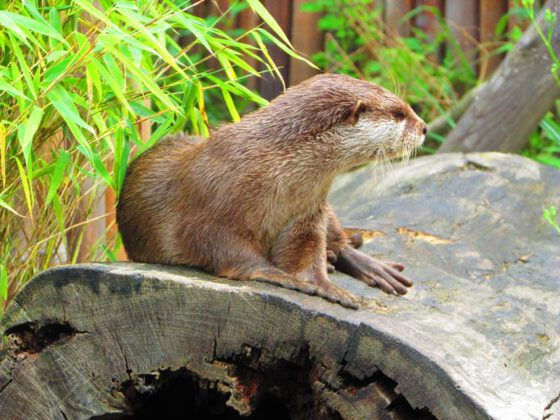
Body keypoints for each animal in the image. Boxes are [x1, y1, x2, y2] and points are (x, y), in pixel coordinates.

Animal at [117, 73, 424, 308]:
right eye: (398, 113)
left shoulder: (307, 213)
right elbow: (228, 250)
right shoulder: (213, 211)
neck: (273, 167)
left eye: (406, 108)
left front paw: (325, 285)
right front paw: (278, 275)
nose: (423, 127)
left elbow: (307, 251)